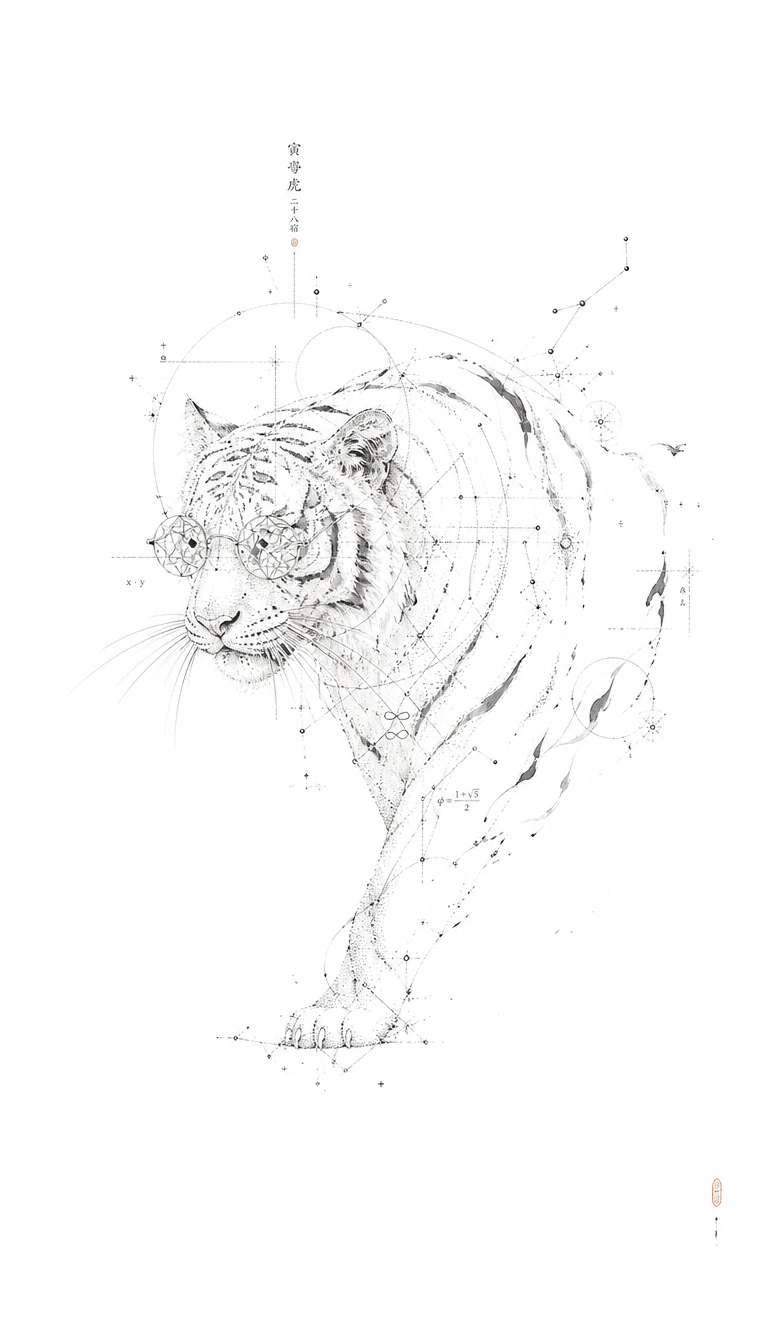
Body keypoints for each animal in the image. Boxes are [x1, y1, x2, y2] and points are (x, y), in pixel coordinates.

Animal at [153, 352, 666, 1049]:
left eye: (273, 540)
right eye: (191, 542)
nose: (212, 621)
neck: (374, 641)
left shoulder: (479, 741)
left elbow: (396, 886)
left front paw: (344, 1015)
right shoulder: (380, 746)